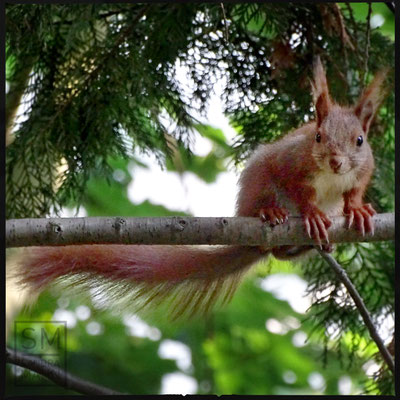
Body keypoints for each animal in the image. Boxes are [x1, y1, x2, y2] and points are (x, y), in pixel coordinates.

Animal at [15, 57, 388, 318]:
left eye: (360, 140)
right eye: (318, 137)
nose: (336, 162)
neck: (332, 176)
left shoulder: (364, 169)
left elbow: (355, 189)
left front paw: (357, 208)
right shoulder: (291, 161)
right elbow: (298, 188)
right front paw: (310, 211)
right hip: (255, 181)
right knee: (267, 216)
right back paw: (271, 212)